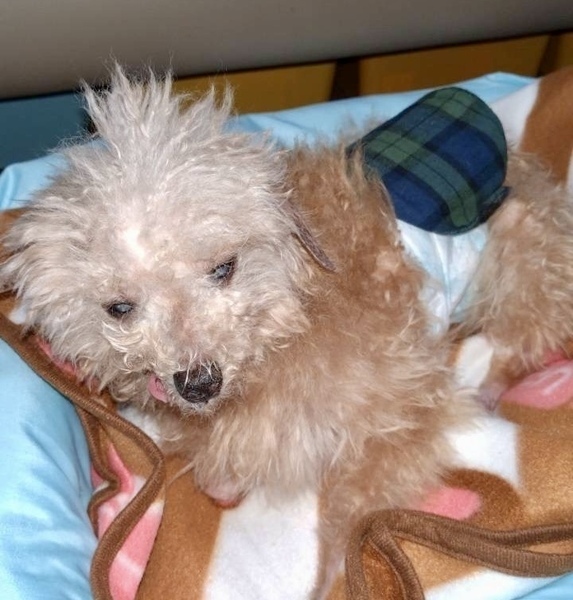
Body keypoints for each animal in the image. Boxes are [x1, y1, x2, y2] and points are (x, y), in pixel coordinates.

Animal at [2, 67, 573, 593]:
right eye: (119, 308)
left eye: (224, 268)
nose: (199, 383)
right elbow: (216, 467)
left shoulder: (403, 415)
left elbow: (353, 519)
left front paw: (337, 580)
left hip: (521, 254)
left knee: (525, 335)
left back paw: (494, 380)